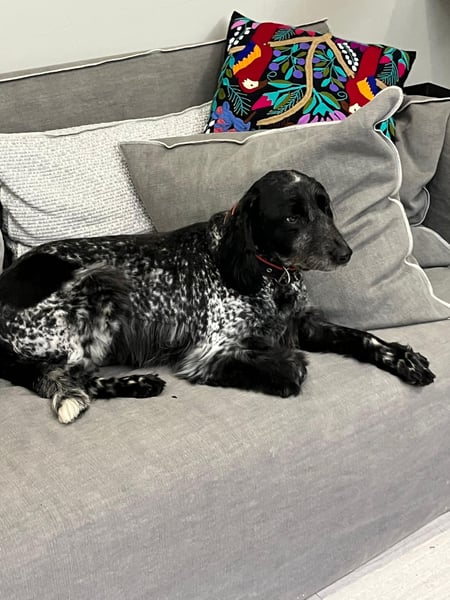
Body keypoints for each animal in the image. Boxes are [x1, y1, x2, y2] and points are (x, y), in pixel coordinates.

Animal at [0, 170, 434, 424]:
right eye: (292, 216)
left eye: (325, 208)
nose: (346, 253)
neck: (268, 275)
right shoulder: (211, 351)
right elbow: (291, 367)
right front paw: (285, 368)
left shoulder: (303, 323)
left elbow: (363, 337)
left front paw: (402, 358)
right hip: (98, 284)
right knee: (75, 377)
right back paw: (138, 383)